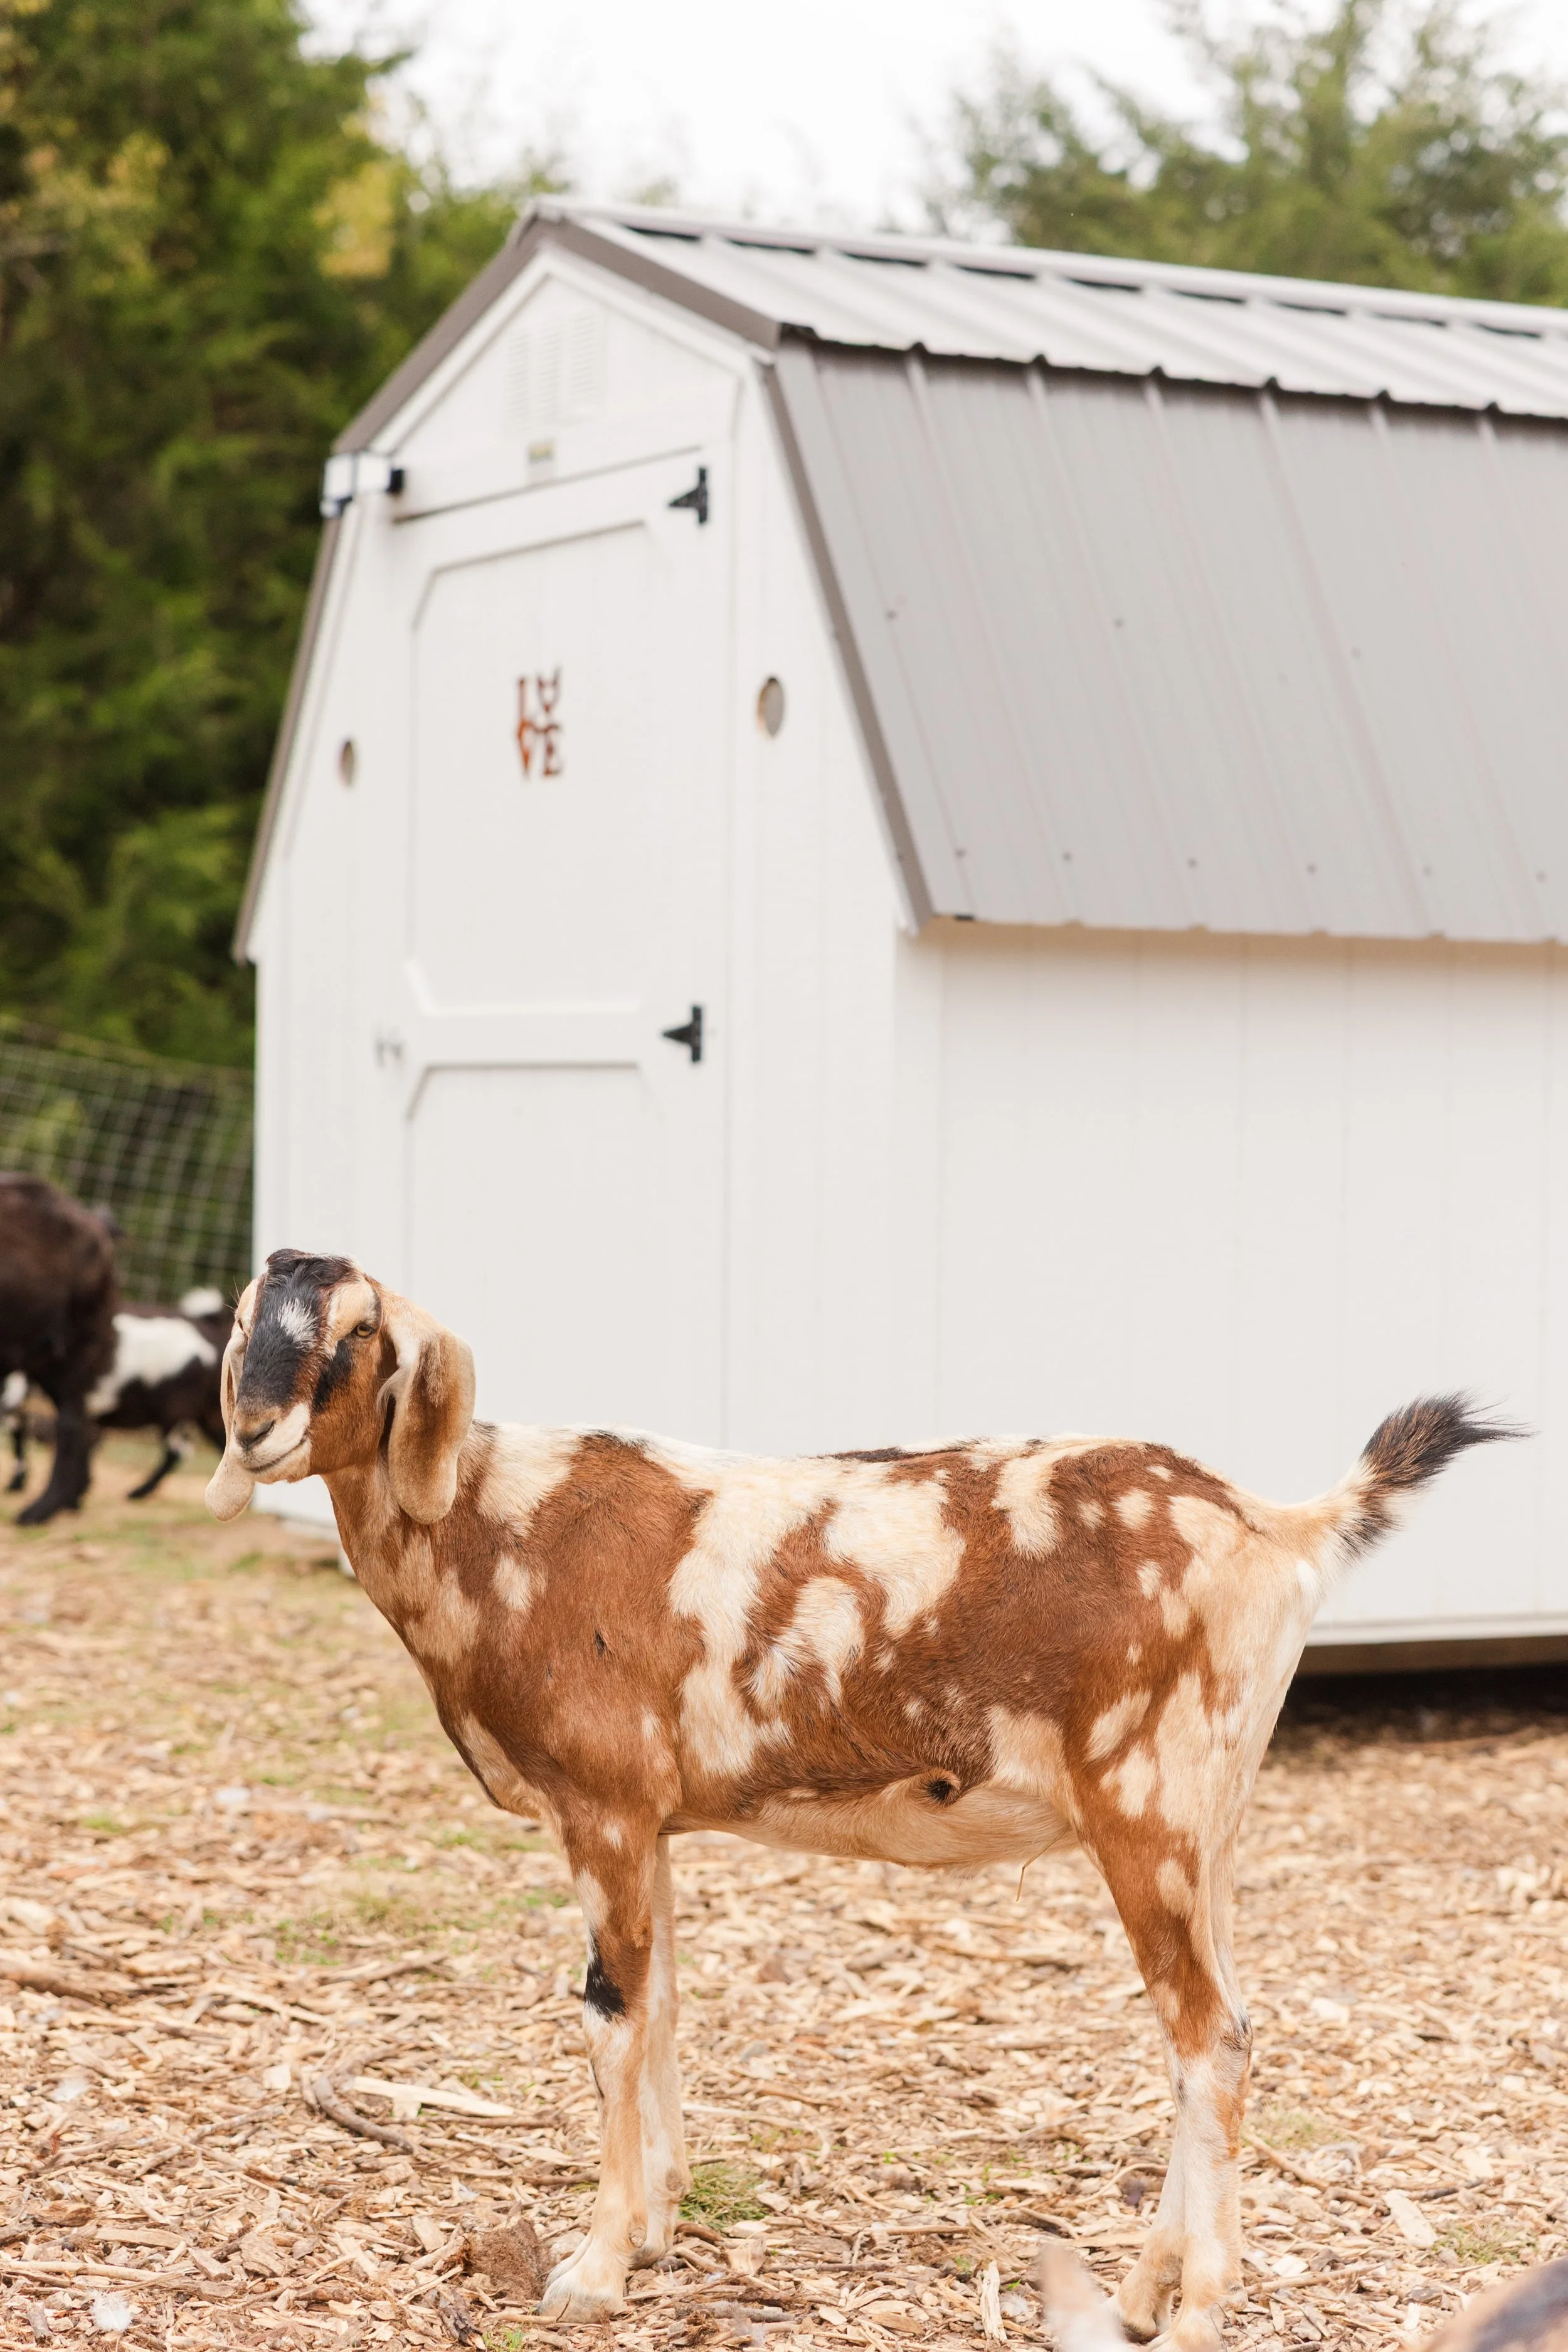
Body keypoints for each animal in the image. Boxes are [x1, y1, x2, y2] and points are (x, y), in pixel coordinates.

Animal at [203, 1248, 1515, 2348]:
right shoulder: (650, 1823)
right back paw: (1144, 2293)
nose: (258, 1432)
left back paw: (1194, 2317)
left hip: (1149, 1812)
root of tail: (1281, 1525)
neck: (490, 1520)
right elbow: (664, 2009)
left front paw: (591, 2269)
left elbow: (611, 2022)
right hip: (1210, 1827)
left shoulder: (604, 1810)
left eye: (360, 1331)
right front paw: (659, 2228)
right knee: (1224, 2029)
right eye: (243, 1321)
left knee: (1213, 2043)